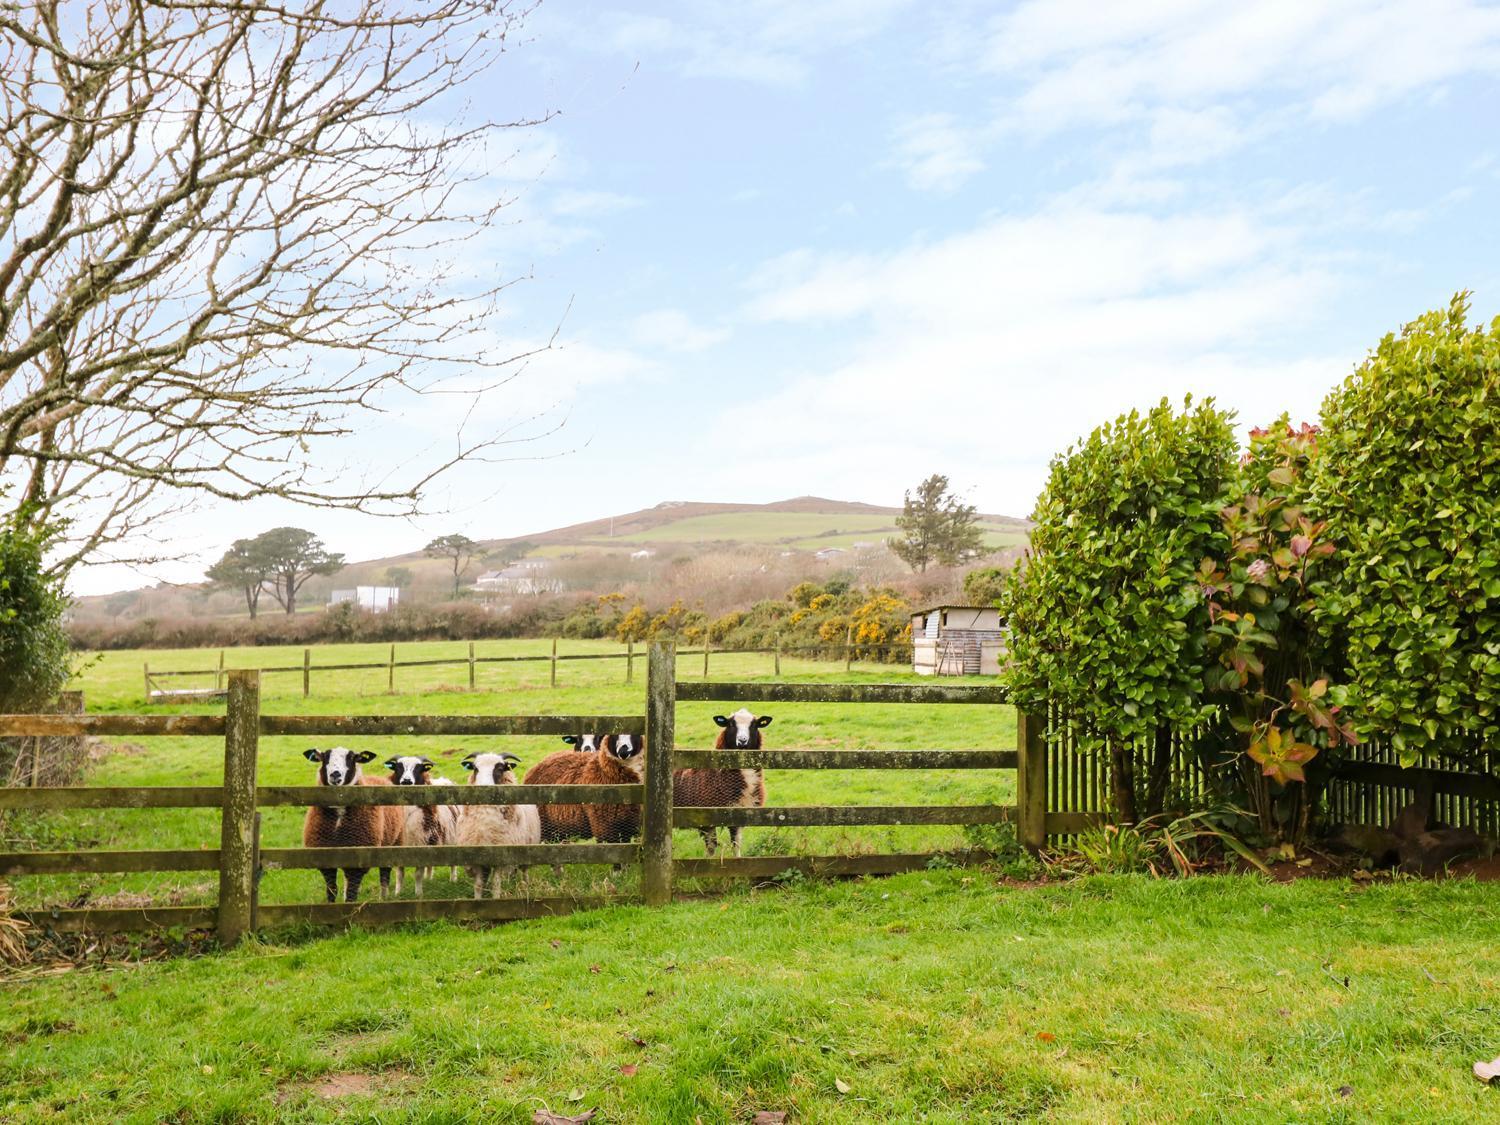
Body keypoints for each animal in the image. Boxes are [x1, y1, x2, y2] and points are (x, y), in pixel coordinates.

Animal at [301, 753, 405, 906]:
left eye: (351, 758)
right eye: (325, 757)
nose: (335, 775)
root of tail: (380, 778)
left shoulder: (358, 861)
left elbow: (351, 893)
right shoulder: (325, 858)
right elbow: (332, 889)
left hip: (393, 843)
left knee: (384, 874)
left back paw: (383, 897)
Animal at [384, 753, 459, 906]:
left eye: (418, 768)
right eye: (398, 767)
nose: (406, 781)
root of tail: (445, 780)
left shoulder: (420, 844)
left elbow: (417, 874)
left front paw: (418, 894)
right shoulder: (400, 847)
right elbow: (399, 874)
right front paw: (398, 893)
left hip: (451, 839)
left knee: (453, 863)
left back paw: (453, 879)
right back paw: (428, 878)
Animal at [453, 753, 543, 906]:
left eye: (500, 768)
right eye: (475, 768)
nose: (483, 788)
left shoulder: (501, 859)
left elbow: (496, 885)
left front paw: (496, 900)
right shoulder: (477, 859)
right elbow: (478, 885)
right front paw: (477, 901)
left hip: (527, 850)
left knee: (524, 871)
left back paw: (525, 885)